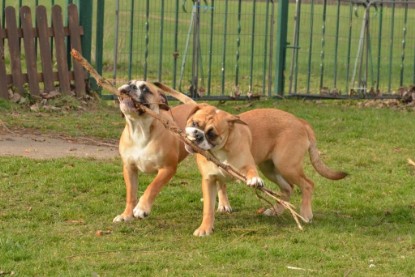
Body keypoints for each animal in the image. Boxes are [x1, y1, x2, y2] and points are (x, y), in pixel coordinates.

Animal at [113, 80, 196, 222]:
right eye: (129, 82)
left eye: (145, 89)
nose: (130, 86)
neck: (139, 129)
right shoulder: (129, 168)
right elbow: (131, 194)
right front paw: (126, 215)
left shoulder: (168, 168)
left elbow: (153, 186)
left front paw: (142, 208)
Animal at [186, 103, 348, 235]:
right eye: (194, 122)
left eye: (212, 134)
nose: (197, 135)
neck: (220, 150)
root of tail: (299, 121)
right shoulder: (209, 180)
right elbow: (208, 208)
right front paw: (205, 229)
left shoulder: (247, 165)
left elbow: (251, 173)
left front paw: (254, 180)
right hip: (270, 169)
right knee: (288, 188)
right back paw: (276, 210)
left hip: (287, 166)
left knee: (307, 184)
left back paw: (306, 214)